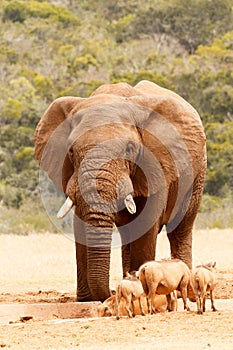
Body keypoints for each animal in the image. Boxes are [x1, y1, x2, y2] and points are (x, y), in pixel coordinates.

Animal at [34, 79, 206, 300]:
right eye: (71, 150)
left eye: (130, 149)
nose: (111, 292)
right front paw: (88, 299)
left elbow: (145, 224)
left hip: (197, 173)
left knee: (180, 228)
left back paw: (188, 292)